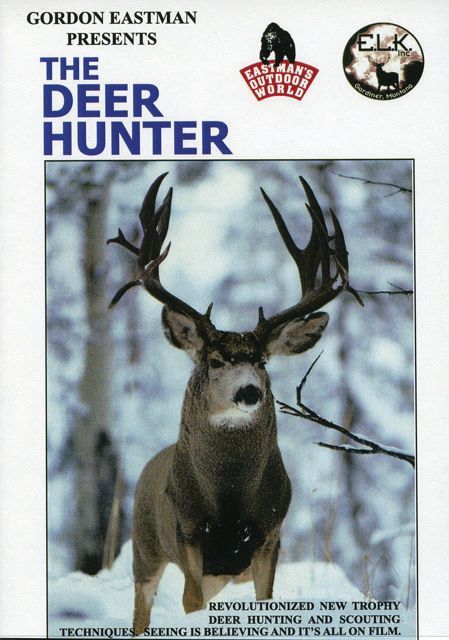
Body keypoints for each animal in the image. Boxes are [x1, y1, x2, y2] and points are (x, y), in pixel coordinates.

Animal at [107, 173, 358, 635]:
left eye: (261, 361)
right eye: (215, 360)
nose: (249, 392)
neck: (228, 503)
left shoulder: (270, 534)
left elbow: (266, 600)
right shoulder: (188, 533)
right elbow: (189, 603)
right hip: (145, 547)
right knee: (142, 608)